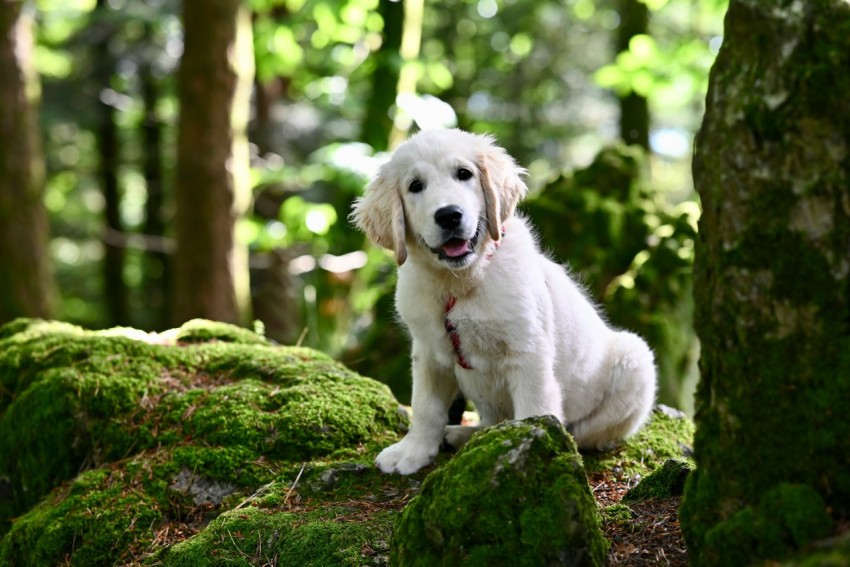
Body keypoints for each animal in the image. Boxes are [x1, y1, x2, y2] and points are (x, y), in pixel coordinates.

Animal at [348, 129, 652, 474]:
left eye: (464, 174)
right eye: (415, 186)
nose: (449, 215)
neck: (461, 283)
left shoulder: (528, 350)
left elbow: (535, 409)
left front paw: (537, 448)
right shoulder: (428, 352)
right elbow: (426, 405)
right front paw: (413, 451)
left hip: (634, 359)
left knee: (585, 430)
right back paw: (467, 435)